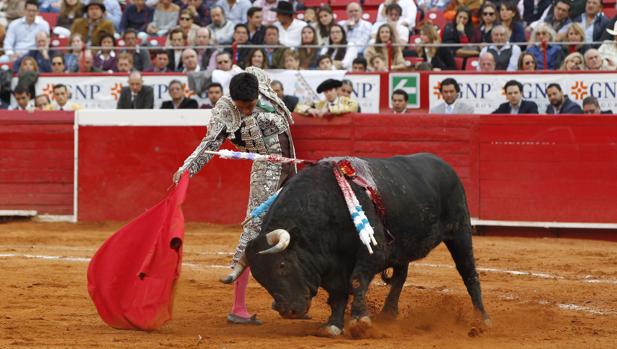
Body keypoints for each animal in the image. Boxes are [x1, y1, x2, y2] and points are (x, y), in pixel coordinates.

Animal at [243, 153, 488, 338]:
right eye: (260, 277)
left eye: (282, 265)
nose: (288, 311)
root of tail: (445, 165)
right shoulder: (333, 264)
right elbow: (337, 292)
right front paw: (333, 325)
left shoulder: (374, 251)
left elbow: (356, 281)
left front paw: (360, 321)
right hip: (402, 245)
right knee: (400, 276)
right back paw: (388, 314)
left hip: (460, 231)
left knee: (469, 273)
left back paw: (481, 320)